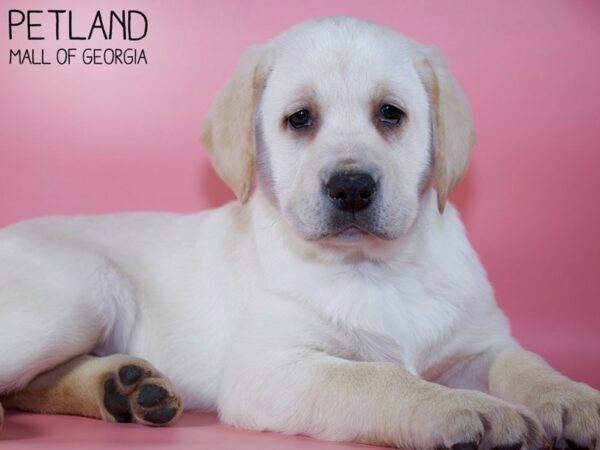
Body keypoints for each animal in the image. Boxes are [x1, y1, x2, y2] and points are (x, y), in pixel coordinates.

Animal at [1, 15, 600, 448]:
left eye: (390, 113)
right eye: (300, 119)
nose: (352, 187)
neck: (377, 267)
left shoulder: (479, 343)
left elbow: (526, 363)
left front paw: (573, 398)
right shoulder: (272, 369)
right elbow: (377, 378)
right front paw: (462, 407)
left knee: (26, 387)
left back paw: (124, 388)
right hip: (82, 296)